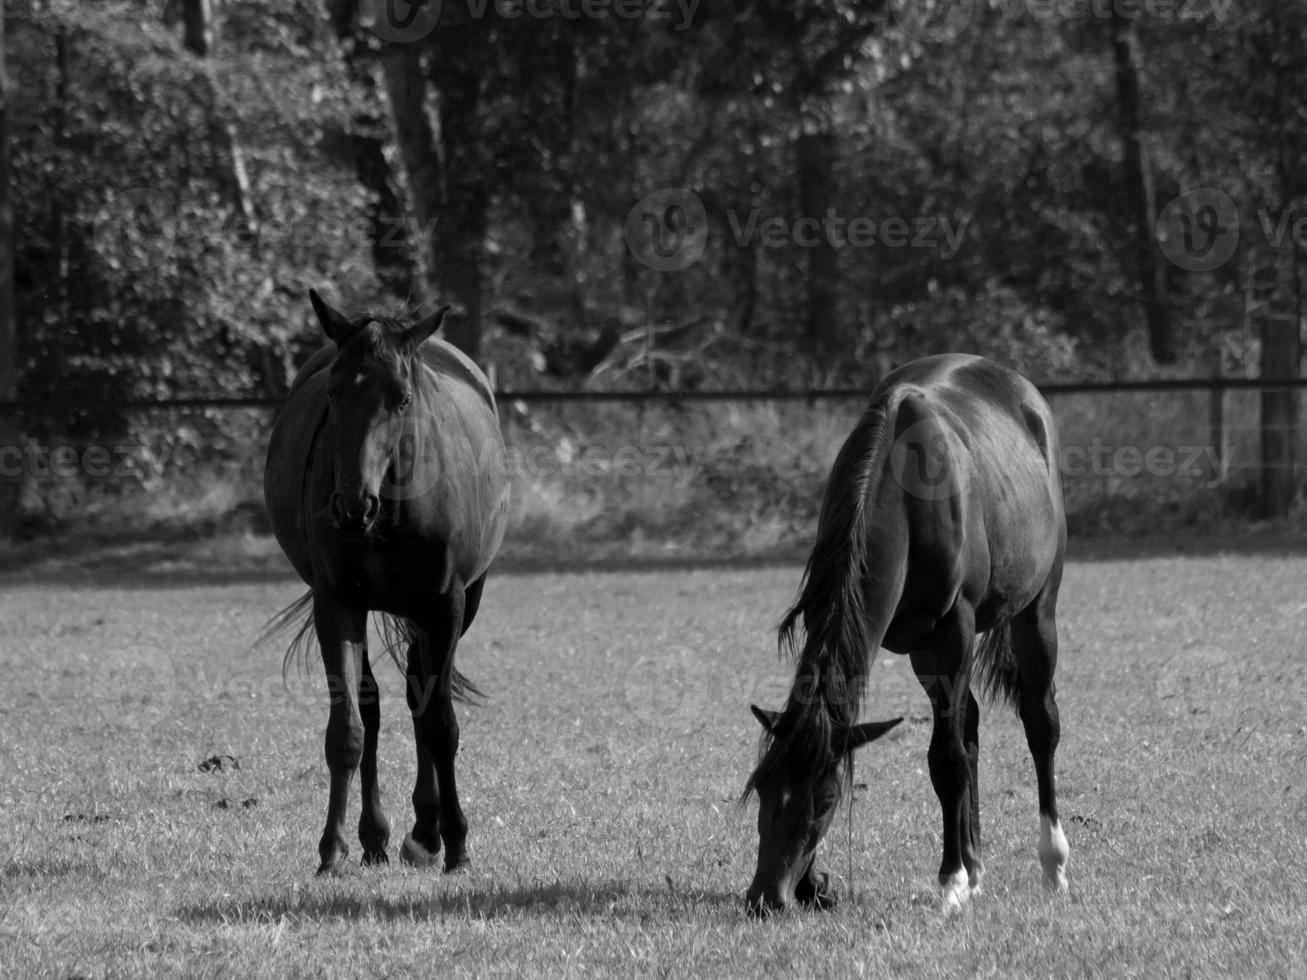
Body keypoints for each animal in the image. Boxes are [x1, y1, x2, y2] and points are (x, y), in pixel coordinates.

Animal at [264, 290, 509, 872]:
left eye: (401, 398)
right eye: (333, 392)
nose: (354, 507)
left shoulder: (445, 606)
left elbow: (440, 724)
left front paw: (457, 844)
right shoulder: (337, 604)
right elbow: (348, 728)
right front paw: (332, 848)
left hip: (455, 606)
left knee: (422, 696)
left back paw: (428, 833)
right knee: (375, 704)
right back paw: (378, 835)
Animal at [747, 358, 1071, 919]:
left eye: (826, 801)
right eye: (763, 788)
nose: (767, 897)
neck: (902, 498)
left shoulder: (954, 630)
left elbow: (945, 761)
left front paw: (951, 882)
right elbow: (955, 745)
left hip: (1036, 610)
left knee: (1038, 722)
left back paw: (1051, 865)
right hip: (927, 654)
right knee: (970, 727)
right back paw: (977, 866)